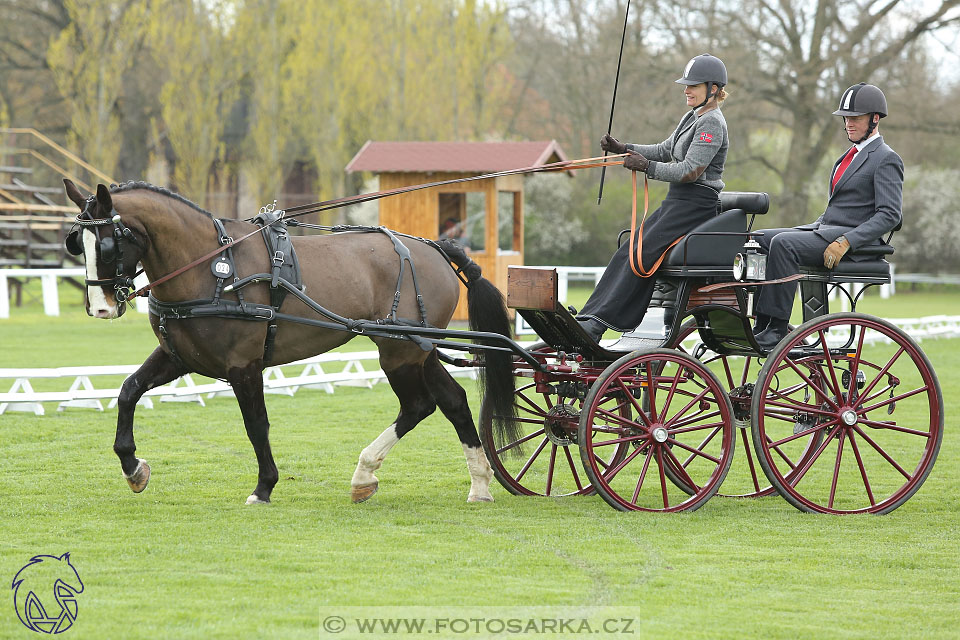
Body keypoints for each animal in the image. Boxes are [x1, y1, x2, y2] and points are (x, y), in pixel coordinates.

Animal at [63, 179, 520, 504]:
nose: (100, 307)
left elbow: (256, 424)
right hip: (417, 350)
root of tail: (433, 248)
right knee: (453, 402)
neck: (213, 267)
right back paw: (479, 484)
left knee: (419, 405)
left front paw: (264, 486)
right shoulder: (179, 358)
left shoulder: (243, 366)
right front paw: (132, 467)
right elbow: (128, 391)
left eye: (107, 244)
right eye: (76, 244)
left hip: (398, 352)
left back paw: (364, 473)